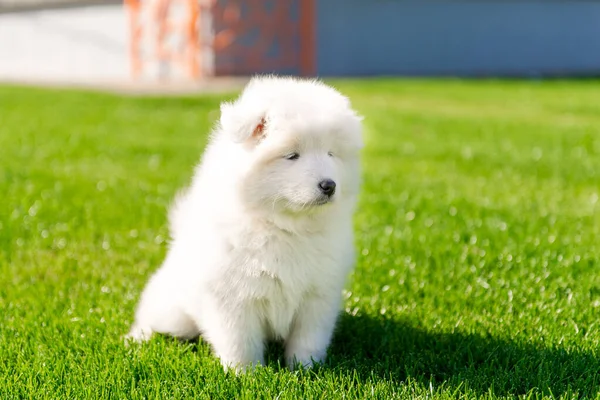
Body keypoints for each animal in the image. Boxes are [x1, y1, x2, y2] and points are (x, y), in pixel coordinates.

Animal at [125, 75, 364, 372]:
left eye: (331, 154)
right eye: (292, 156)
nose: (329, 185)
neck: (284, 227)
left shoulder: (318, 296)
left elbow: (308, 339)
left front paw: (305, 369)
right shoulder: (233, 298)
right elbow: (241, 342)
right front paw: (245, 373)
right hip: (173, 312)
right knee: (152, 319)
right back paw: (137, 338)